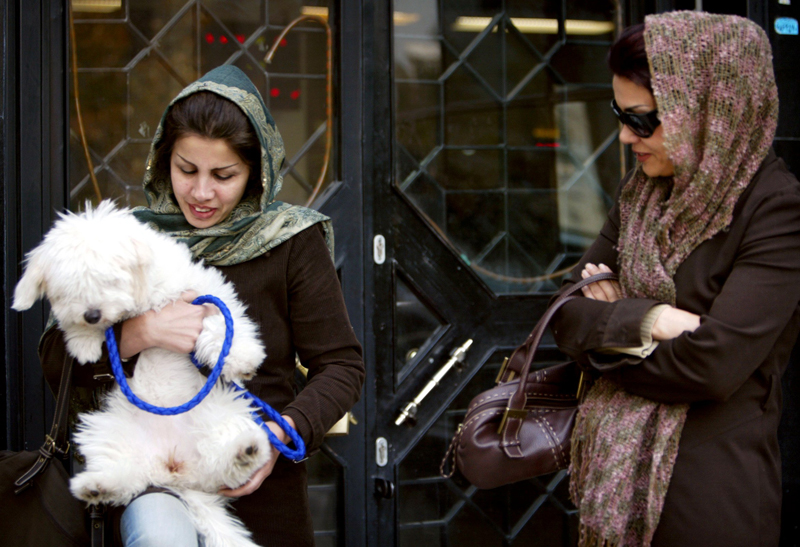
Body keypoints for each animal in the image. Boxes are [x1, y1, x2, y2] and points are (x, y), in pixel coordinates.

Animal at [13, 201, 272, 547]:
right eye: (70, 290)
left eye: (108, 280)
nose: (92, 315)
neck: (140, 300)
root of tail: (173, 471)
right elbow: (69, 328)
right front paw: (84, 343)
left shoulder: (201, 291)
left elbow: (222, 319)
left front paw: (241, 355)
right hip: (108, 431)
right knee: (125, 475)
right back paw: (96, 485)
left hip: (219, 411)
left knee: (224, 461)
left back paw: (245, 452)